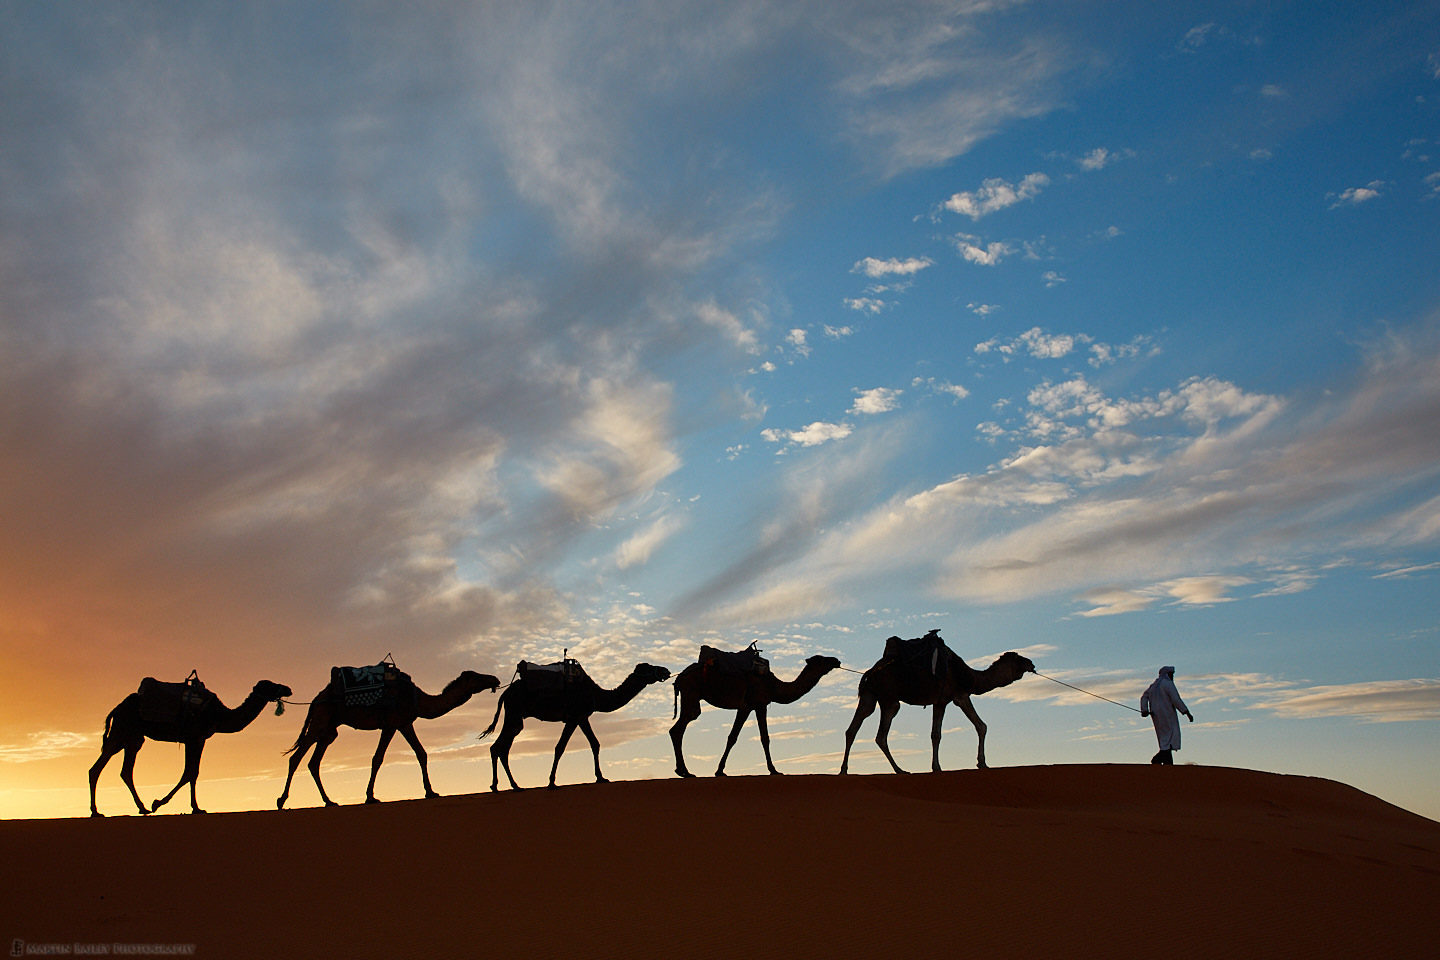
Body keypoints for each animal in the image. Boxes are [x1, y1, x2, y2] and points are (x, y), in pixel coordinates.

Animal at [87, 676, 292, 817]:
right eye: (270, 685)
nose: (288, 688)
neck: (219, 715)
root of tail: (116, 708)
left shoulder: (195, 739)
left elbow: (192, 772)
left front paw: (192, 807)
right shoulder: (195, 738)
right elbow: (190, 772)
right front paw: (163, 803)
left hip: (133, 738)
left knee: (124, 770)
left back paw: (140, 808)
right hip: (122, 731)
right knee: (99, 768)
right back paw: (98, 811)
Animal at [275, 667, 501, 811]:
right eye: (476, 676)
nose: (495, 679)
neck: (418, 699)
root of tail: (315, 699)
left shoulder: (405, 723)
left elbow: (422, 753)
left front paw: (430, 791)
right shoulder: (391, 724)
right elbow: (378, 758)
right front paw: (370, 797)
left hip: (330, 729)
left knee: (314, 762)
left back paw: (329, 801)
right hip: (321, 720)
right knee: (296, 758)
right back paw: (281, 800)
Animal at [478, 664, 668, 794]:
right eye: (648, 668)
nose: (665, 670)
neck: (596, 694)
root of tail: (505, 693)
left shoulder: (583, 717)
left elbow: (595, 744)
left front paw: (601, 777)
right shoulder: (574, 717)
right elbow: (560, 747)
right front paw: (552, 782)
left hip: (514, 717)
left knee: (501, 749)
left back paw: (511, 785)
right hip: (514, 714)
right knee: (498, 747)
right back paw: (501, 786)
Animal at [673, 650, 840, 777]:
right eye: (820, 659)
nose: (836, 660)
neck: (774, 686)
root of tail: (680, 677)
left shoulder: (748, 707)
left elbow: (734, 737)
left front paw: (720, 770)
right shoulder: (757, 705)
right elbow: (762, 738)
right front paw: (774, 770)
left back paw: (683, 771)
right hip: (691, 693)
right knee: (678, 728)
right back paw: (685, 772)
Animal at [835, 633, 1036, 777]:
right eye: (1019, 659)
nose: (1032, 664)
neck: (971, 677)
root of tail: (870, 672)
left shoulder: (943, 701)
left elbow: (938, 734)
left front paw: (938, 766)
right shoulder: (957, 696)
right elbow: (978, 726)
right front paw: (981, 763)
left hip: (869, 696)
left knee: (853, 729)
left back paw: (844, 770)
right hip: (889, 699)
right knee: (880, 736)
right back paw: (900, 770)